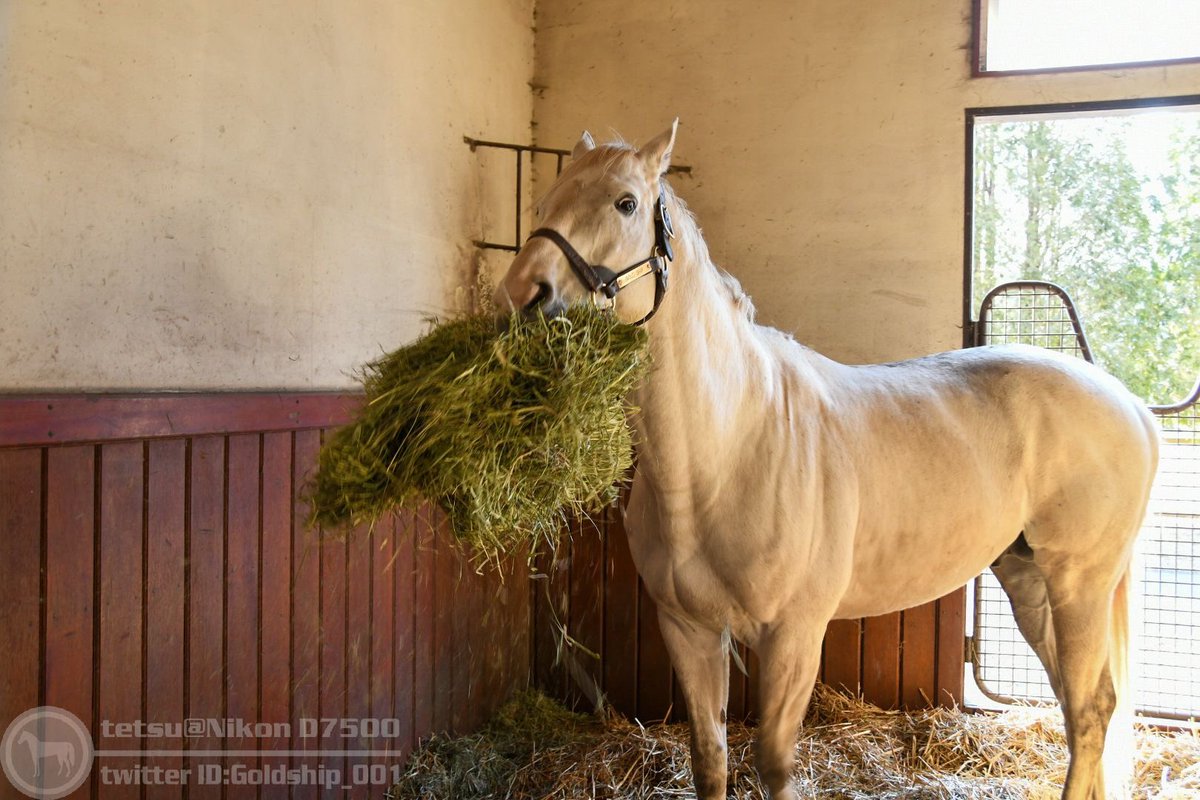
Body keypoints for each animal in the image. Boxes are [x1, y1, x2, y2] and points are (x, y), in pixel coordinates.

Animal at [492, 120, 1156, 800]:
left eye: (625, 203)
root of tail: (1130, 405)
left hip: (1080, 583)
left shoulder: (793, 637)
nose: (522, 294)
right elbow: (710, 759)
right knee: (1080, 705)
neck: (725, 454)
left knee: (1088, 709)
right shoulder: (689, 630)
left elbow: (775, 765)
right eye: (546, 202)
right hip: (1028, 580)